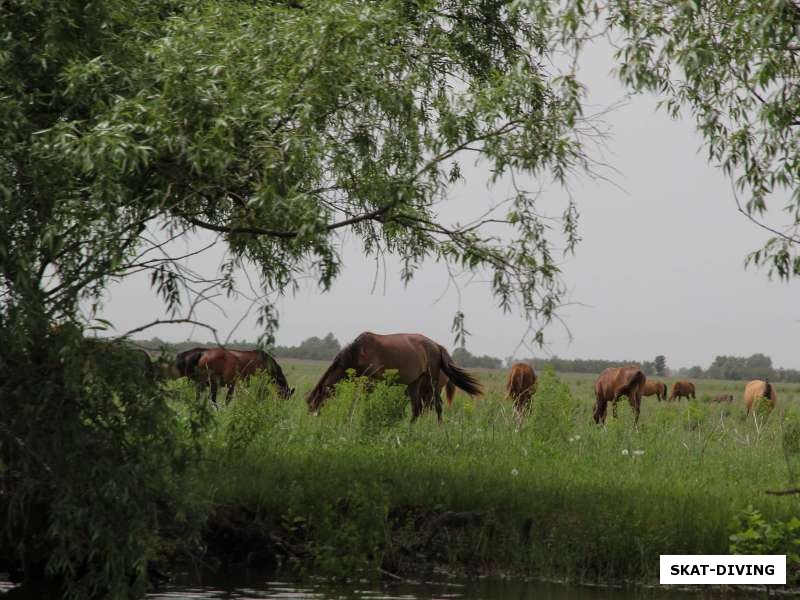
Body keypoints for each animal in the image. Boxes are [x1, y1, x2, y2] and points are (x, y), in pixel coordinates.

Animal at [306, 332, 482, 422]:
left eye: (315, 402)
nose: (312, 419)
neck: (358, 352)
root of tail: (438, 346)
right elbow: (354, 401)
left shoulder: (370, 383)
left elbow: (360, 401)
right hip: (414, 384)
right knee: (418, 409)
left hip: (433, 384)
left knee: (436, 408)